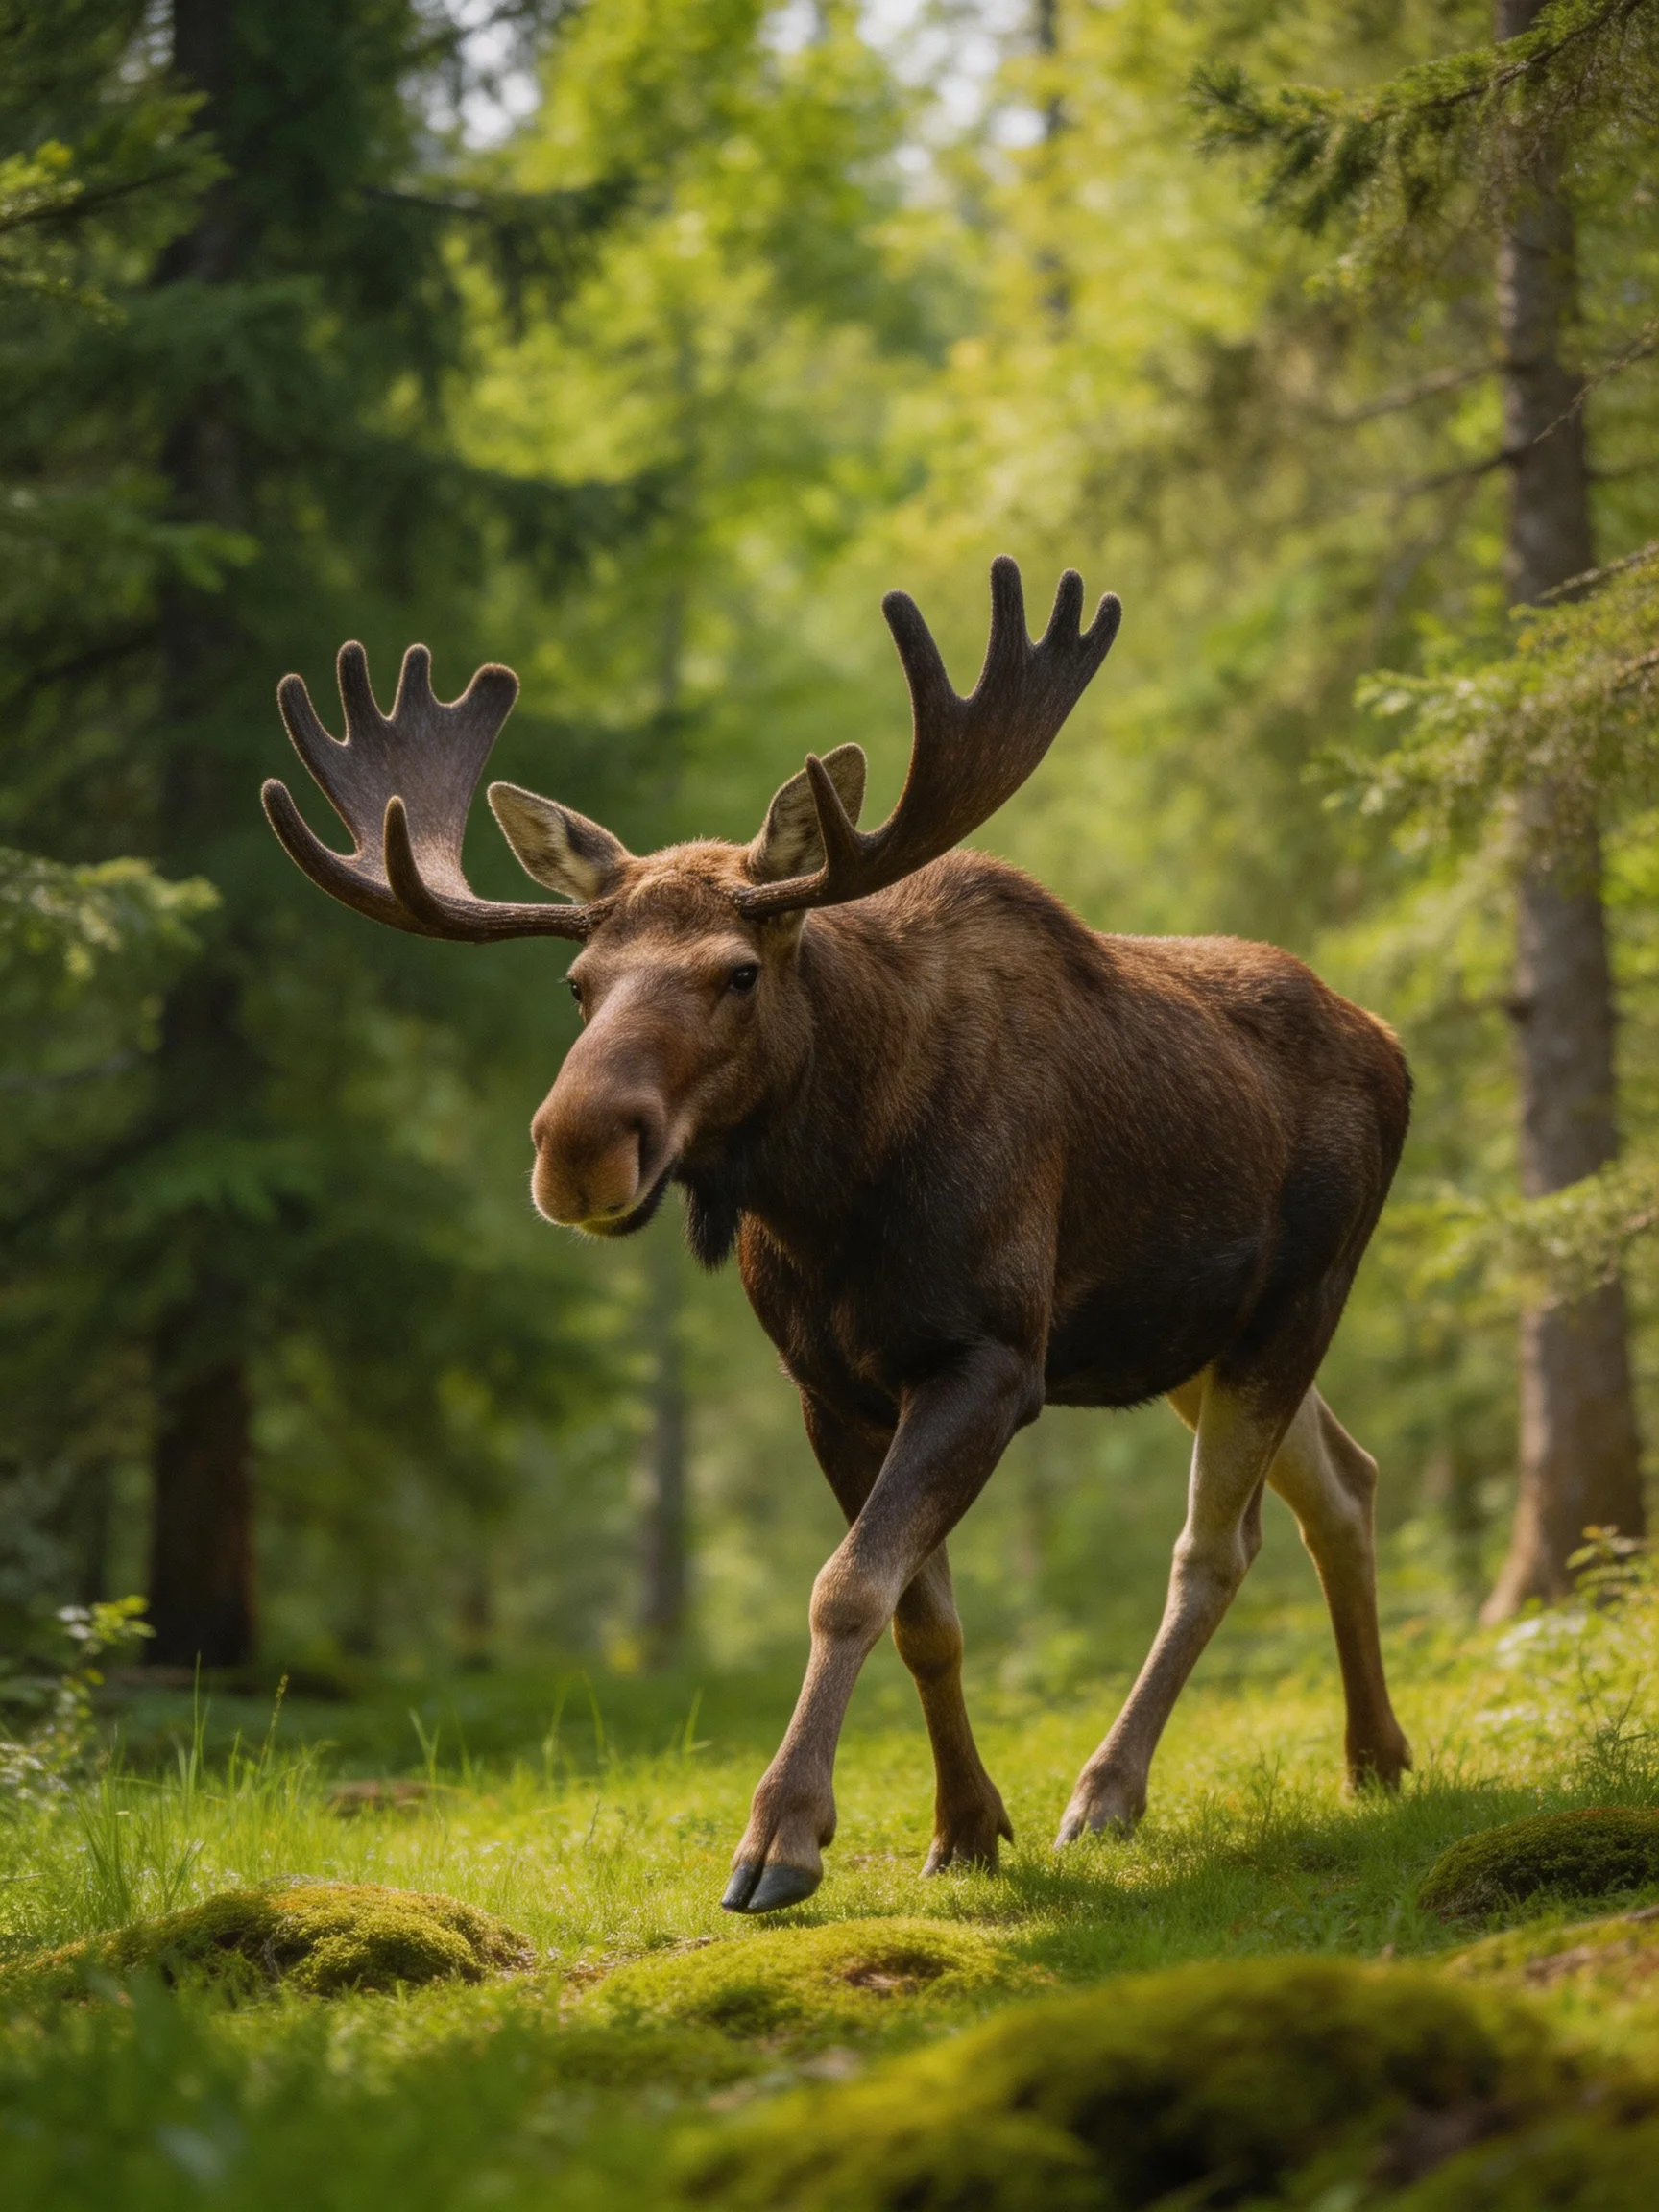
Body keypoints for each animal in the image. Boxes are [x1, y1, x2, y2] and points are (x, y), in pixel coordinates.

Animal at [264, 558, 1413, 1914]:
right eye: (577, 985)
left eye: (738, 970)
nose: (576, 1147)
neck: (835, 1201)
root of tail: (1393, 1047)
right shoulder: (832, 1387)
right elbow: (923, 1613)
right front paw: (965, 1827)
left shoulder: (989, 1359)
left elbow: (847, 1586)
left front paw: (781, 1839)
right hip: (1193, 1336)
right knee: (1343, 1480)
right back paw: (1376, 1755)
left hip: (1301, 1298)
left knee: (1215, 1546)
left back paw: (1112, 1791)